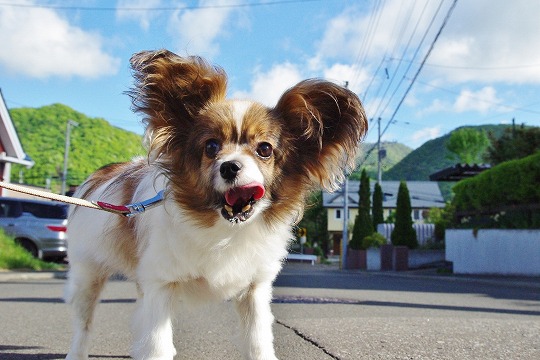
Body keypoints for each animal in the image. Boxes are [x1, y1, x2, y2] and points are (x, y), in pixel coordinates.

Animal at [63, 50, 368, 360]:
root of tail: (101, 175)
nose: (230, 167)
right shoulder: (160, 283)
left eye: (265, 149)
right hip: (88, 274)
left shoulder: (254, 290)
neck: (225, 231)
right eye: (211, 146)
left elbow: (258, 342)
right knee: (84, 324)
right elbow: (156, 345)